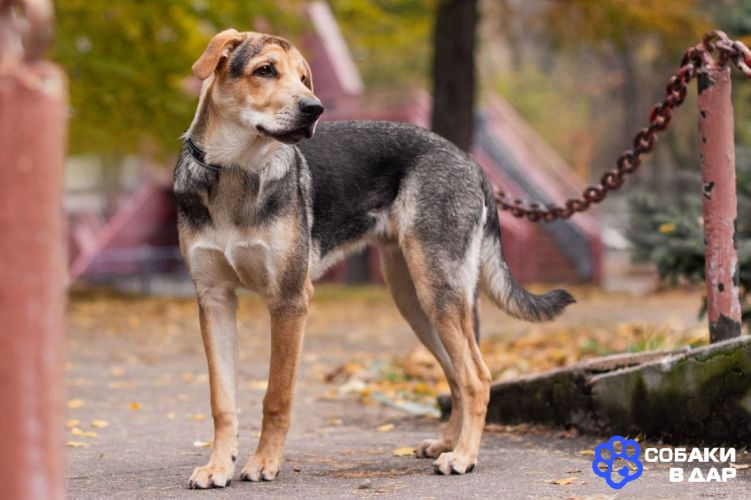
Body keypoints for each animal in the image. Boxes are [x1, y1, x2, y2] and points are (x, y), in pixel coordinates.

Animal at [174, 29, 575, 489]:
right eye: (265, 70)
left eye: (304, 78)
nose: (315, 109)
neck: (233, 171)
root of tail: (471, 163)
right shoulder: (215, 300)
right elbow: (222, 400)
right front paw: (218, 465)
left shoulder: (290, 300)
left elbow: (277, 395)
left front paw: (264, 462)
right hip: (416, 301)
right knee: (457, 374)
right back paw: (446, 443)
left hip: (437, 292)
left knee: (478, 377)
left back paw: (462, 457)